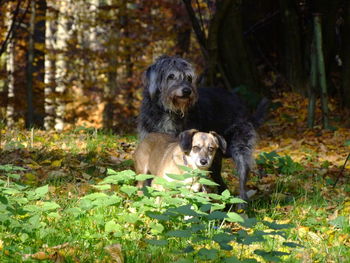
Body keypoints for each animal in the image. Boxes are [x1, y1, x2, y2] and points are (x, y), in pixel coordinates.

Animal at [137, 55, 268, 206]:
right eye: (171, 76)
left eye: (189, 77)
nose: (187, 91)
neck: (168, 111)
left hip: (239, 146)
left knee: (241, 174)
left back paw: (241, 203)